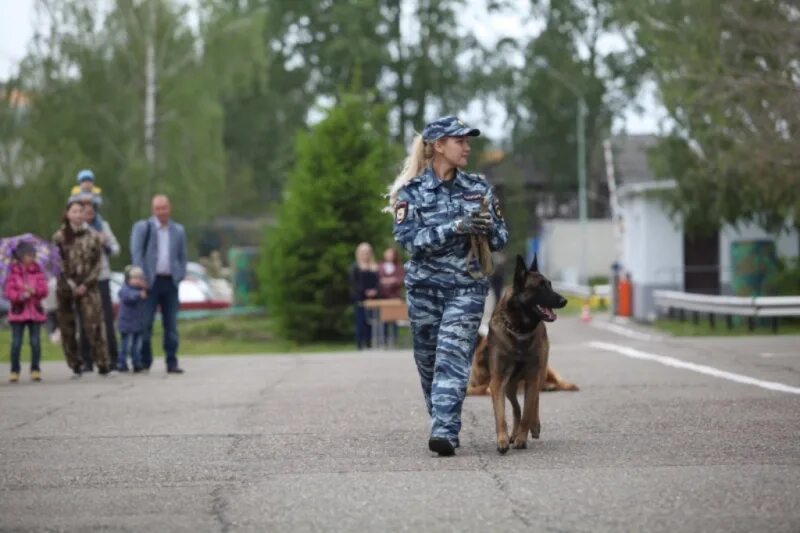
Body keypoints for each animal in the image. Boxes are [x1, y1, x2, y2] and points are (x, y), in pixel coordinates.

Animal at [478, 255, 564, 454]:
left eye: (550, 284)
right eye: (540, 286)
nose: (564, 301)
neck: (518, 330)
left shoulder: (532, 377)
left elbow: (527, 412)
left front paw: (522, 438)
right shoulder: (497, 381)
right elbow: (501, 415)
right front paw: (502, 440)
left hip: (539, 374)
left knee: (534, 402)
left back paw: (533, 426)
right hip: (510, 386)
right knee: (516, 408)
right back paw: (513, 433)